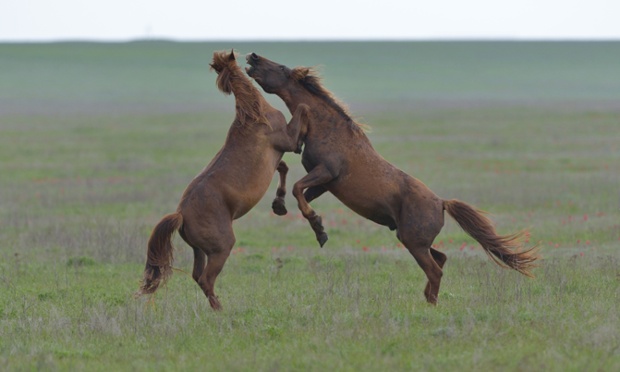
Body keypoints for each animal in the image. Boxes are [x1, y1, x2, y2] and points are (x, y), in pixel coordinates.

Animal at [137, 50, 308, 310]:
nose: (253, 55)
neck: (255, 116)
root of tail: (181, 215)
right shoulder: (286, 141)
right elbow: (302, 110)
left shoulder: (277, 157)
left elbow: (284, 168)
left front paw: (279, 205)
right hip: (221, 248)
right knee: (206, 279)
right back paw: (221, 310)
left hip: (199, 250)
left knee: (197, 275)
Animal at [246, 52, 536, 304]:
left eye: (282, 68)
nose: (253, 57)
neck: (326, 128)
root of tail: (442, 203)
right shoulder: (325, 183)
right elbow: (300, 194)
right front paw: (309, 223)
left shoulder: (326, 172)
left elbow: (298, 189)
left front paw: (316, 227)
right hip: (413, 240)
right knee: (441, 258)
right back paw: (427, 298)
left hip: (413, 242)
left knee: (435, 269)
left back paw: (430, 305)